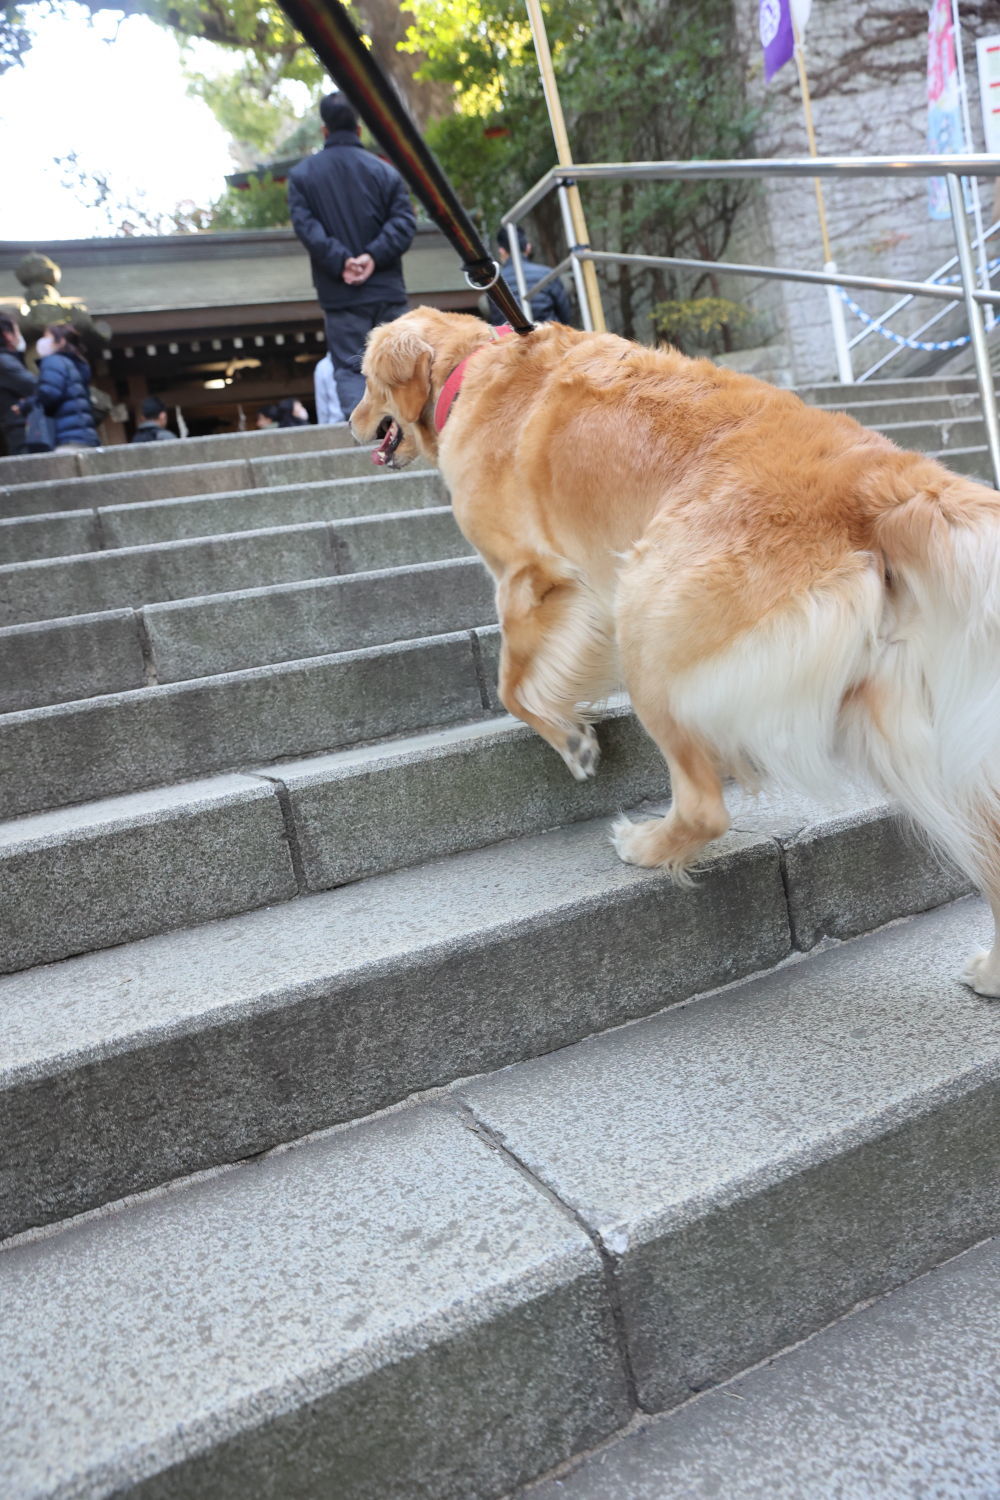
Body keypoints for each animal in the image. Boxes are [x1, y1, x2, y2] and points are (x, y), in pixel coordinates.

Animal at [353, 307, 1000, 996]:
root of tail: (884, 479)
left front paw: (572, 742)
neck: (468, 369)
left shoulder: (527, 576)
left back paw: (646, 846)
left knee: (704, 806)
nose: (353, 422)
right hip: (900, 718)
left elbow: (510, 686)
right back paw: (992, 970)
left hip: (647, 621)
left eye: (363, 379)